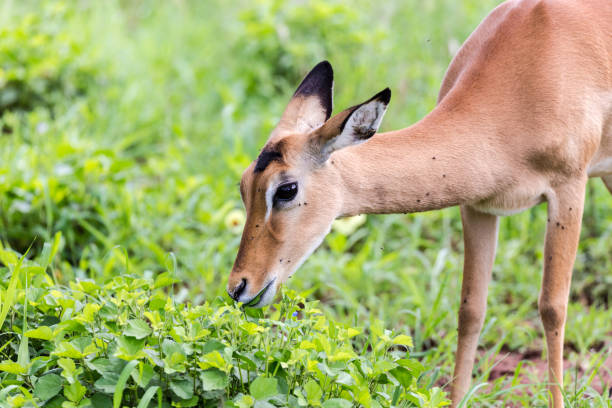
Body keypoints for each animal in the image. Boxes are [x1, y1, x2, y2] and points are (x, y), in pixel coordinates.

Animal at [226, 0, 612, 404]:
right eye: (244, 184)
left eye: (286, 189)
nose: (238, 287)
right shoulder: (478, 206)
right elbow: (470, 310)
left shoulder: (569, 189)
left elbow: (552, 306)